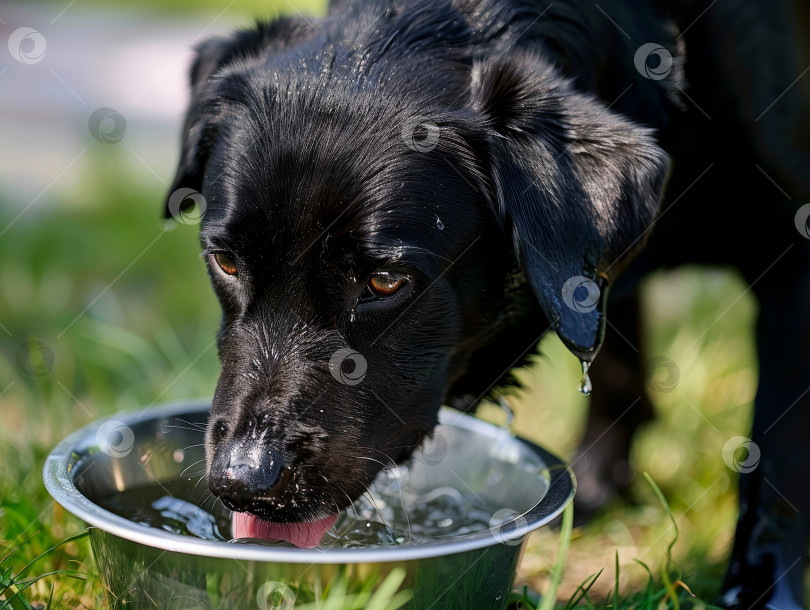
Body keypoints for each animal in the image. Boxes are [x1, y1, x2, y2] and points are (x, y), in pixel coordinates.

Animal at [166, 0, 808, 604]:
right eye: (225, 261)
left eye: (385, 281)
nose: (243, 482)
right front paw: (600, 481)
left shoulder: (795, 250)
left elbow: (777, 455)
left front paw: (765, 594)